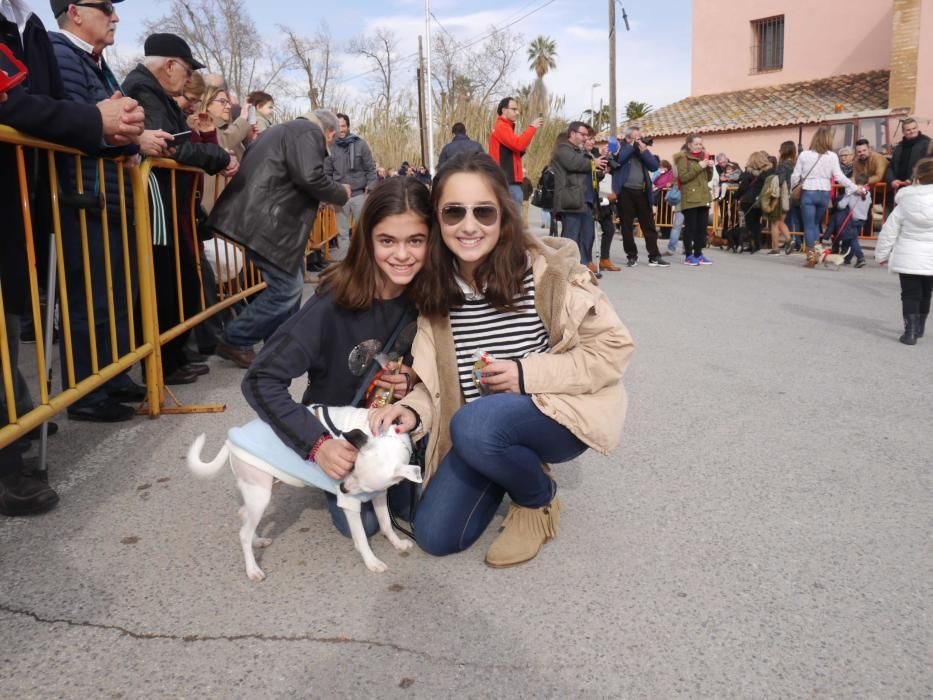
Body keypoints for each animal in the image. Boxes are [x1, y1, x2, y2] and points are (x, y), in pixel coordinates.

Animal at [187, 404, 420, 580]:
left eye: (366, 486)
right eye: (351, 466)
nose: (342, 488)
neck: (386, 436)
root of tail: (230, 440)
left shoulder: (379, 495)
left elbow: (386, 524)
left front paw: (397, 543)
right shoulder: (350, 504)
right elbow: (361, 538)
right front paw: (372, 561)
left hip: (264, 488)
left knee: (244, 515)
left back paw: (257, 541)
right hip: (260, 495)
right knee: (243, 532)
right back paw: (252, 569)